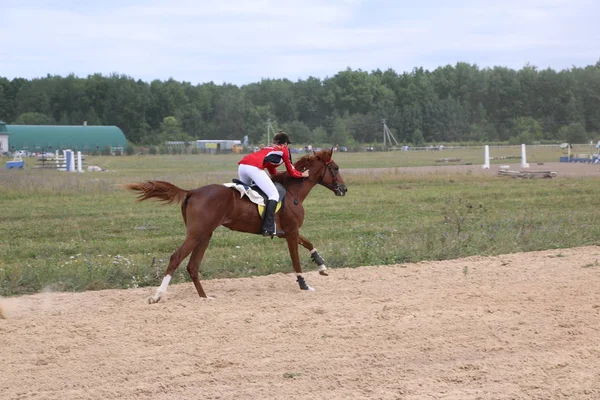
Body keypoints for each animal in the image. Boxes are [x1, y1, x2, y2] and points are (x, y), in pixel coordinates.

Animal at [124, 148, 346, 304]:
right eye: (335, 168)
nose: (344, 189)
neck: (293, 192)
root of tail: (192, 191)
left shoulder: (287, 232)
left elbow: (308, 244)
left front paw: (322, 266)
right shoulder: (291, 232)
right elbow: (296, 261)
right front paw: (304, 285)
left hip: (205, 235)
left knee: (193, 265)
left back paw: (205, 297)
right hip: (196, 234)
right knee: (176, 258)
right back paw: (157, 295)